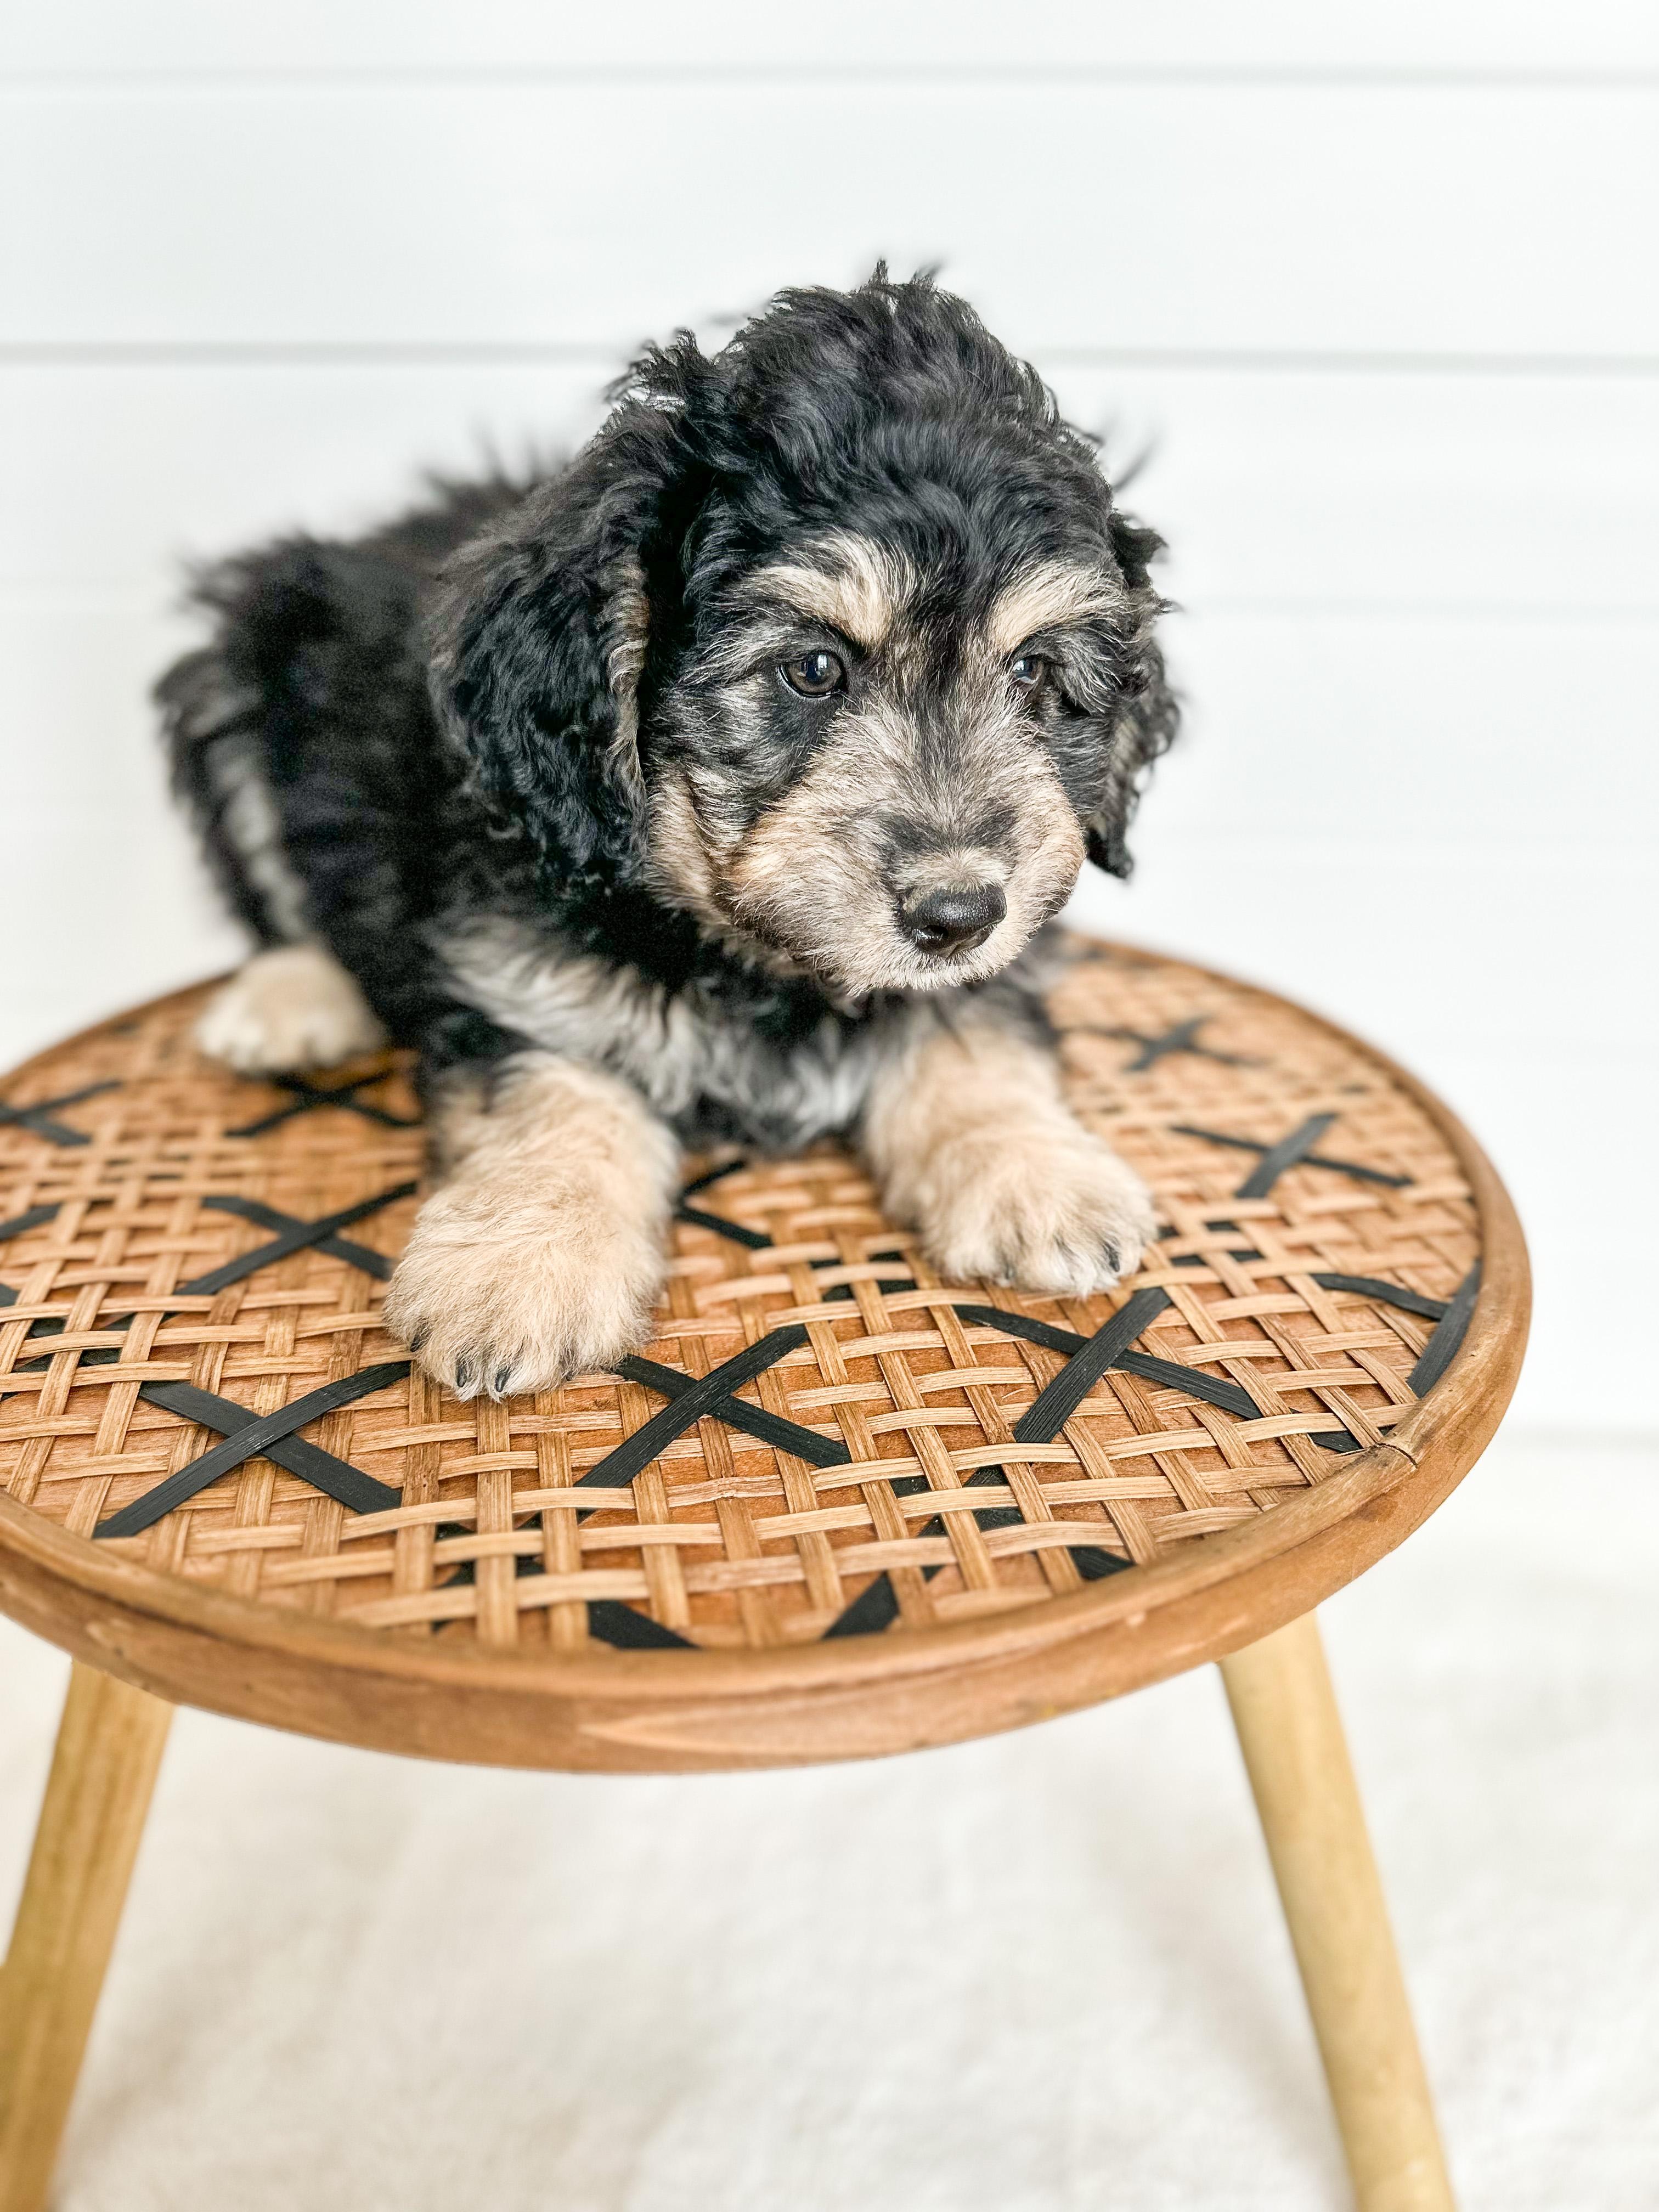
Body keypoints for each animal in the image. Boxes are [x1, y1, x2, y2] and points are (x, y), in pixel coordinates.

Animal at [159, 270, 1179, 1401]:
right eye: (813, 669)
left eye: (1033, 672)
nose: (959, 914)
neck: (748, 958)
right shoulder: (520, 977)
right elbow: (557, 1098)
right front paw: (516, 1268)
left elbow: (975, 1030)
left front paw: (1037, 1171)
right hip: (232, 673)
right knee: (279, 898)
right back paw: (289, 1000)